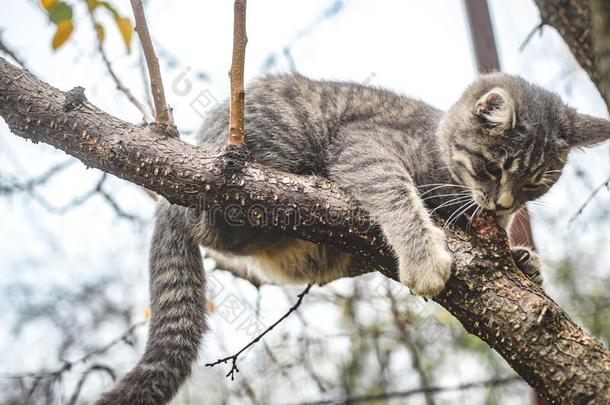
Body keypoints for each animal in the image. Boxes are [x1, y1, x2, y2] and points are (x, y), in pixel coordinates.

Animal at [96, 73, 608, 404]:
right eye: (494, 168)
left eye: (535, 184)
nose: (504, 205)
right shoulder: (367, 147)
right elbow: (398, 194)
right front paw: (425, 257)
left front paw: (524, 260)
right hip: (264, 153)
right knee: (209, 221)